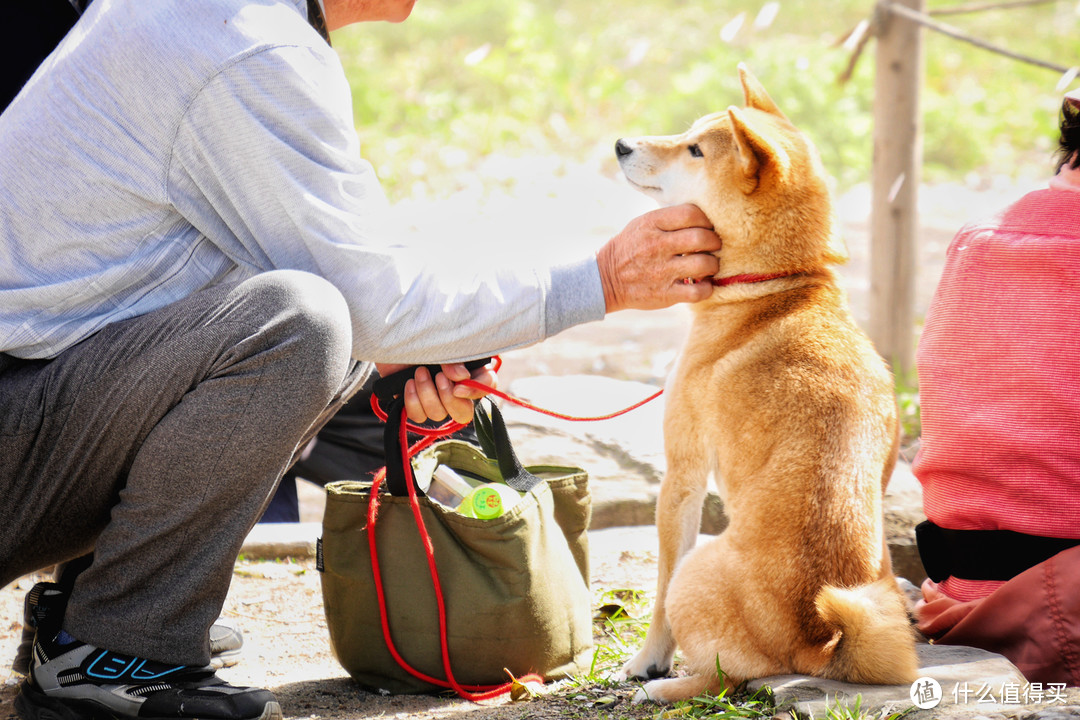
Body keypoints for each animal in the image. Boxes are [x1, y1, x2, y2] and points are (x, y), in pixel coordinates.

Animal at [613, 64, 915, 699]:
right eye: (688, 132)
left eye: (695, 149)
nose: (622, 144)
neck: (775, 287)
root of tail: (816, 639)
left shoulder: (682, 474)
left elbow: (658, 594)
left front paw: (647, 660)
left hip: (700, 568)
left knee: (728, 674)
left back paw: (663, 688)